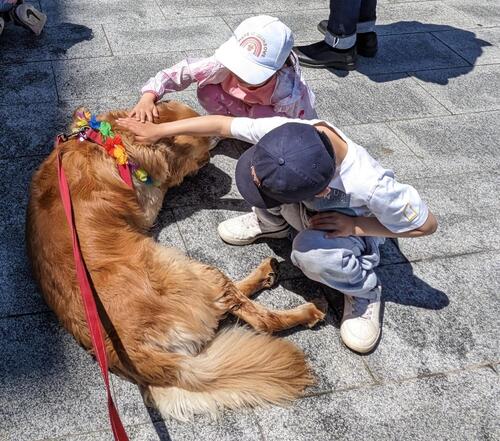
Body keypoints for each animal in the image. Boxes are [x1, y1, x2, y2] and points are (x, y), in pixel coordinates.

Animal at [25, 99, 326, 420]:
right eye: (202, 149)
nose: (216, 133)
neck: (108, 144)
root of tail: (147, 359)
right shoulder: (150, 204)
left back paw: (266, 273)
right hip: (186, 267)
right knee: (257, 317)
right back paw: (305, 308)